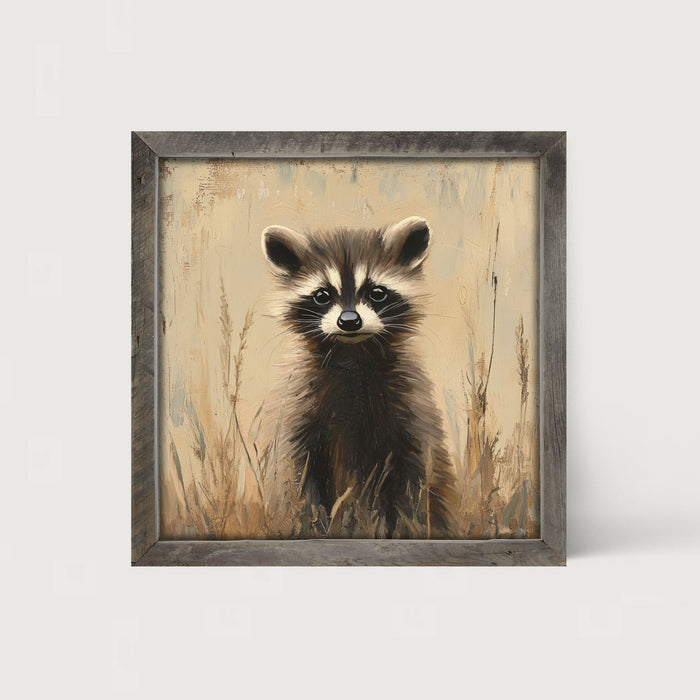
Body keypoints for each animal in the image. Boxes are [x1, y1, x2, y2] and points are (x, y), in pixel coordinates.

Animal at [261, 216, 458, 538]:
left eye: (377, 292)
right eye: (322, 295)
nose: (349, 321)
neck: (352, 354)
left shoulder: (411, 408)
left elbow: (413, 477)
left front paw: (407, 525)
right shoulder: (300, 407)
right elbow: (299, 474)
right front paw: (313, 521)